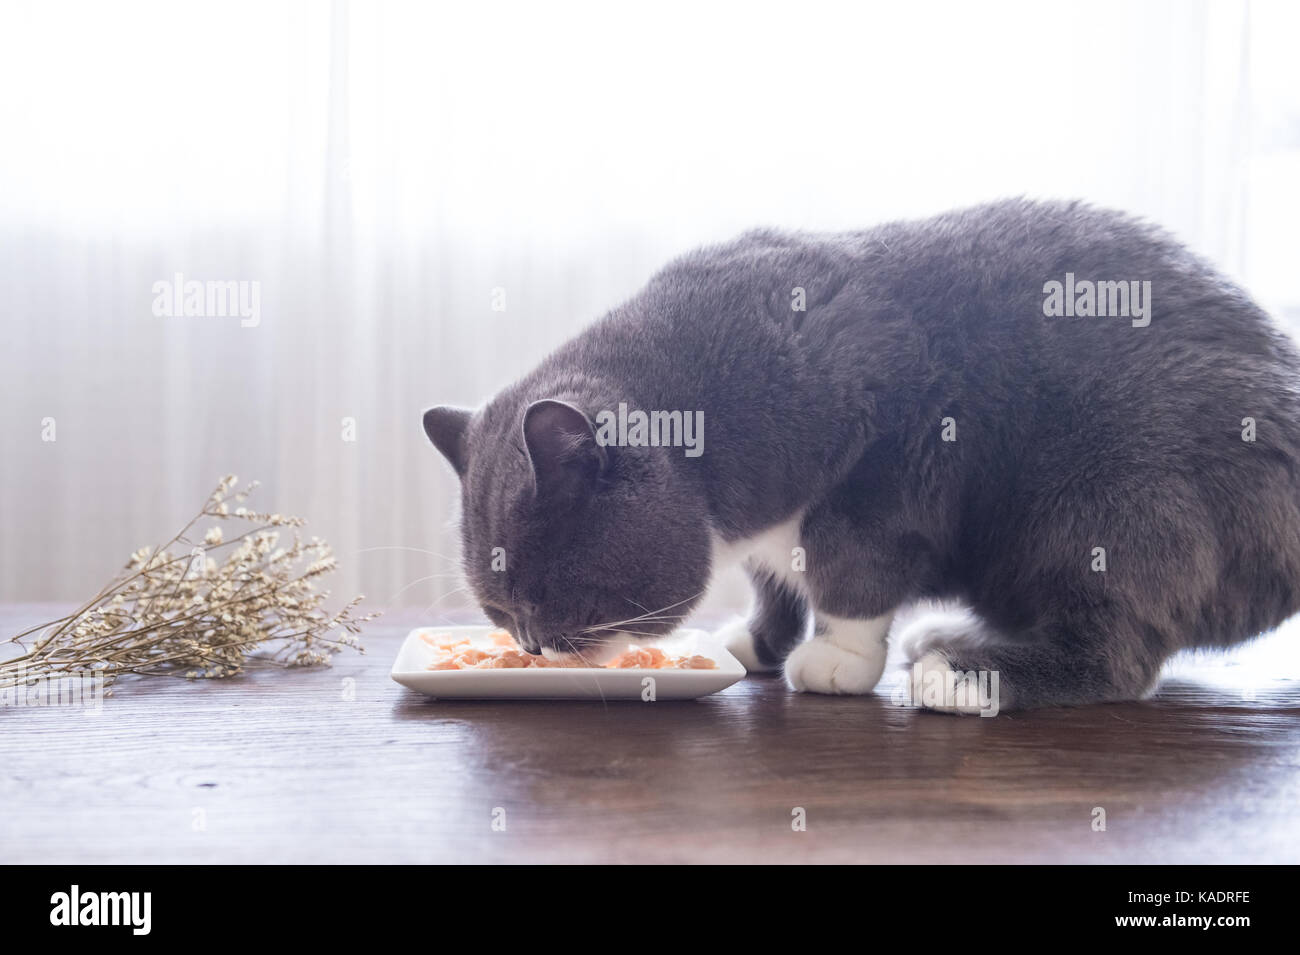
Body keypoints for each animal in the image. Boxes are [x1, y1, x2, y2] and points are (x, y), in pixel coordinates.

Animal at [423, 200, 1300, 712]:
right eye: (499, 611)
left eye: (548, 596)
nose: (531, 645)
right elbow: (777, 576)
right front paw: (758, 640)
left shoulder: (894, 439)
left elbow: (850, 559)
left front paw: (837, 658)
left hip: (1115, 489)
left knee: (1121, 649)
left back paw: (961, 671)